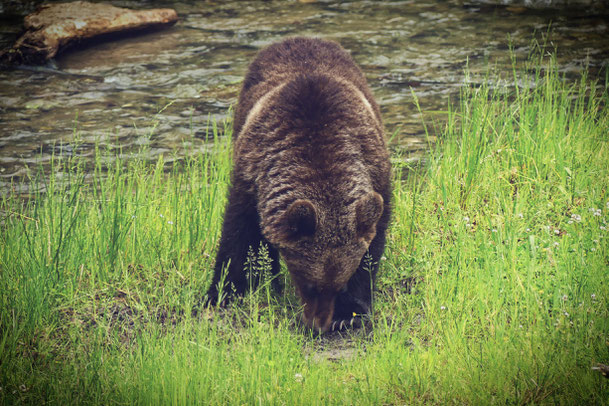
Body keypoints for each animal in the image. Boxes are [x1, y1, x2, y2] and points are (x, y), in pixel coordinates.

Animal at [207, 36, 392, 334]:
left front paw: (350, 312)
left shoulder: (375, 173)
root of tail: (298, 38)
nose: (318, 325)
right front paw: (224, 293)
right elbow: (238, 237)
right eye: (309, 284)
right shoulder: (252, 175)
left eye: (338, 286)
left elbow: (371, 247)